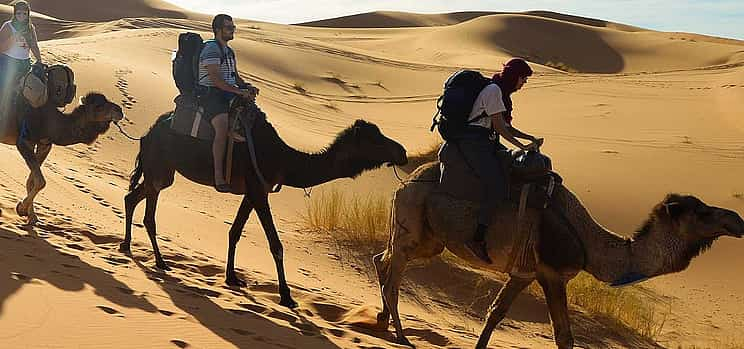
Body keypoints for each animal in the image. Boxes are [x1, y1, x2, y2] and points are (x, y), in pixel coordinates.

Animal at [0, 92, 125, 223]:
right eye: (98, 106)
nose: (120, 110)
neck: (52, 124)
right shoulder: (23, 141)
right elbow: (40, 181)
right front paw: (22, 208)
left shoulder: (44, 144)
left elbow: (32, 180)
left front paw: (32, 215)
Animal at [123, 98, 410, 308]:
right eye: (375, 139)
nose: (402, 152)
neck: (283, 158)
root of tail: (147, 133)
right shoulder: (259, 190)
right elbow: (276, 244)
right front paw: (287, 296)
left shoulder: (252, 192)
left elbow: (235, 232)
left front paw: (232, 277)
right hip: (159, 166)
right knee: (148, 212)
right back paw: (160, 261)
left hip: (163, 171)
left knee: (132, 197)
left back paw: (127, 246)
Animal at [374, 160, 744, 348]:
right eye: (702, 213)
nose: (737, 220)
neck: (590, 244)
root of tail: (406, 182)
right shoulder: (541, 272)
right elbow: (525, 324)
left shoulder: (539, 275)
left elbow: (531, 325)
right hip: (412, 225)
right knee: (394, 275)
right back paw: (401, 335)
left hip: (428, 238)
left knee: (383, 260)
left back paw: (381, 321)